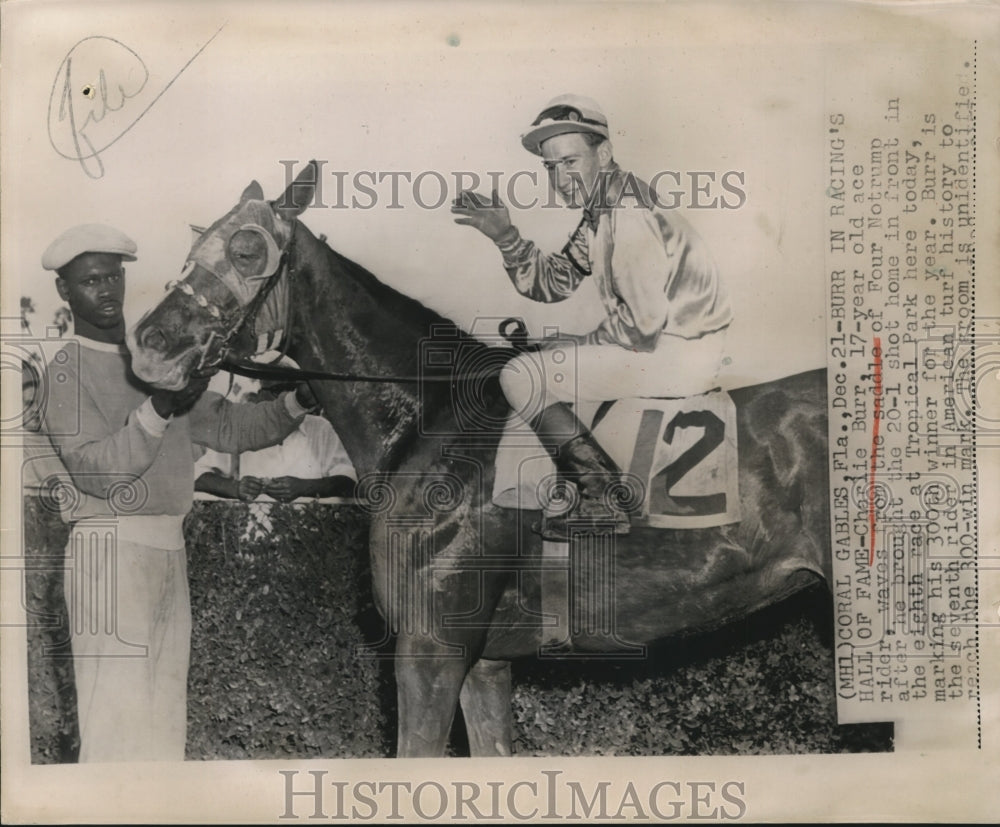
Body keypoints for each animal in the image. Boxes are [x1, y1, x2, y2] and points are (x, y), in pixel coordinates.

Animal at [127, 163, 828, 756]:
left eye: (246, 250)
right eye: (196, 243)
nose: (150, 343)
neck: (428, 422)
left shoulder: (431, 647)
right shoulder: (485, 662)